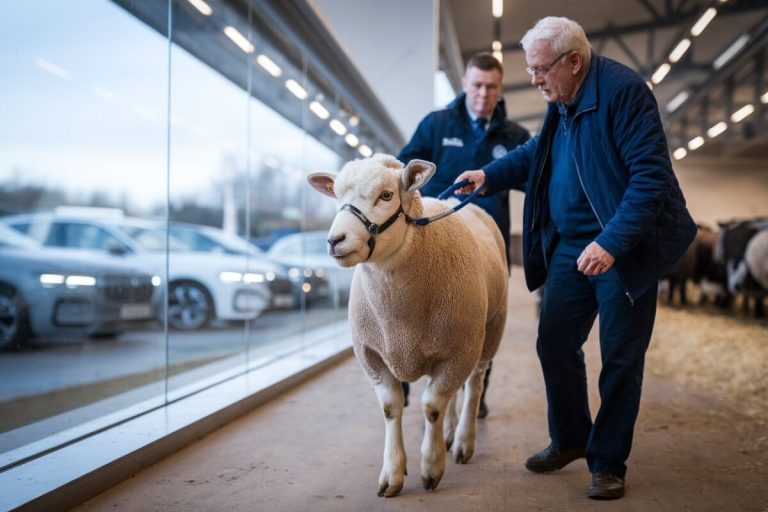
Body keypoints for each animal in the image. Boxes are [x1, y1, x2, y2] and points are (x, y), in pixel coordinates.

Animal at [307, 154, 508, 497]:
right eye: (337, 196)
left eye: (386, 195)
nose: (335, 241)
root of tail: (452, 200)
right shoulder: (372, 354)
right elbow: (392, 408)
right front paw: (392, 475)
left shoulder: (459, 350)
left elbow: (431, 407)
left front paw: (431, 467)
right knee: (457, 392)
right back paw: (450, 433)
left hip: (489, 330)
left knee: (474, 384)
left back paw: (463, 441)